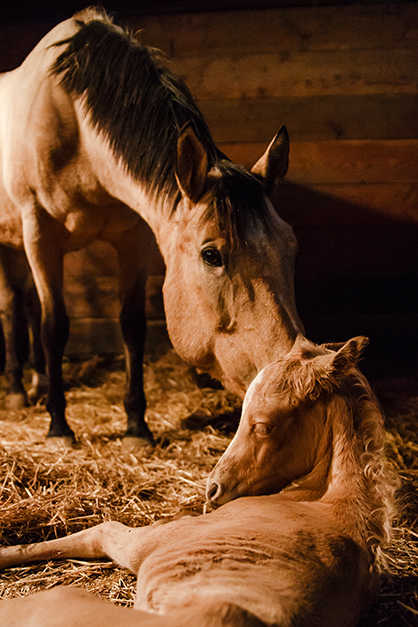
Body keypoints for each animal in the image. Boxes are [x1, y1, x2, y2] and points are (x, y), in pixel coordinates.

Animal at [0, 7, 302, 444]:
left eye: (291, 245)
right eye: (211, 255)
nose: (293, 376)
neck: (75, 125)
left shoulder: (133, 238)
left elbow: (132, 326)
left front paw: (136, 425)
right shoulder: (41, 233)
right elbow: (54, 325)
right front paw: (59, 425)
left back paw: (35, 382)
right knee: (15, 306)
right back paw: (19, 389)